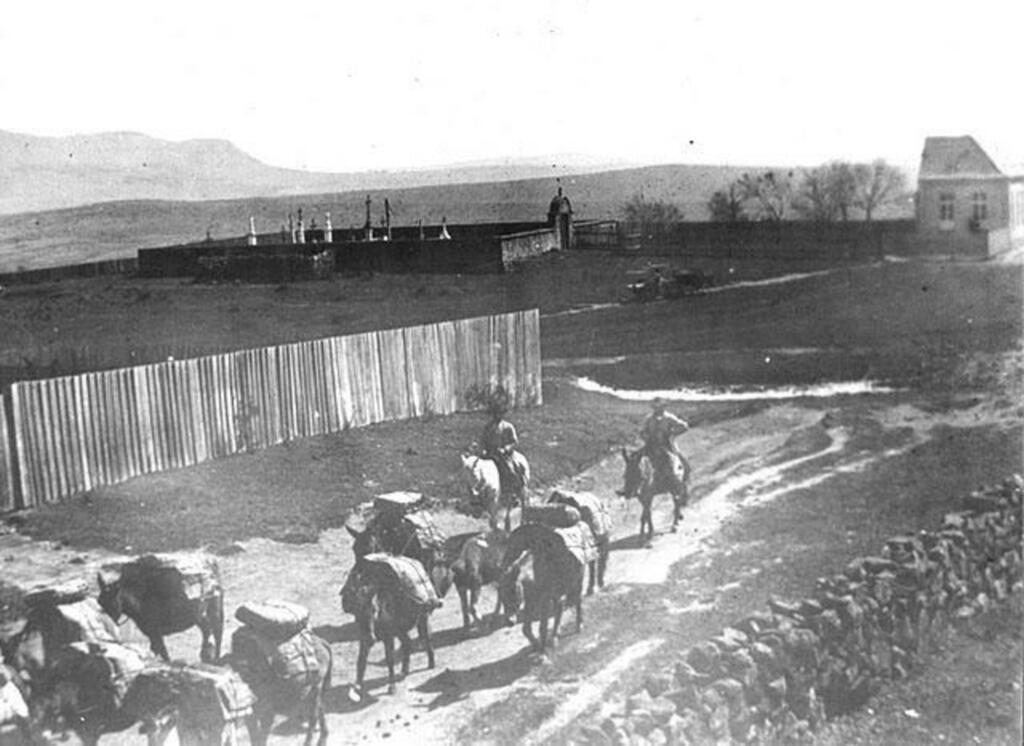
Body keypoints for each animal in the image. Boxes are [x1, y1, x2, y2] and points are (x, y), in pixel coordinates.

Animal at [96, 552, 225, 663]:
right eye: (99, 601)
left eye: (111, 602)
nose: (106, 624)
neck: (140, 599)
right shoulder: (152, 635)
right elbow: (158, 651)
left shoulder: (156, 633)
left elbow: (163, 653)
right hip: (198, 615)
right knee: (207, 629)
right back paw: (205, 654)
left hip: (214, 609)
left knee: (217, 631)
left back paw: (215, 657)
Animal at [339, 556, 440, 695]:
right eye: (356, 611)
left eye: (373, 609)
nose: (372, 639)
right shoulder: (363, 637)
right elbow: (361, 660)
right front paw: (358, 686)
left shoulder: (388, 638)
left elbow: (389, 659)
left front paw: (392, 687)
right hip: (401, 631)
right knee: (407, 643)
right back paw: (404, 671)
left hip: (423, 620)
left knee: (427, 639)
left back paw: (431, 664)